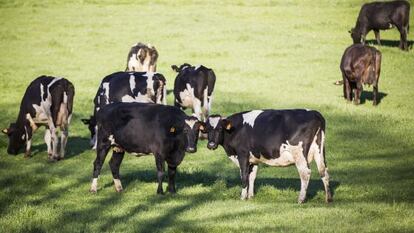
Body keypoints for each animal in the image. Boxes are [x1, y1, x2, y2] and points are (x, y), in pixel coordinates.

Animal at [204, 110, 334, 203]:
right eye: (207, 129)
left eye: (220, 128)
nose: (211, 145)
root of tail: (314, 113)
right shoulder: (253, 159)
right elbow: (252, 177)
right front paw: (250, 196)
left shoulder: (242, 155)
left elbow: (244, 177)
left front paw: (242, 197)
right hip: (319, 151)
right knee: (324, 171)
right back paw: (328, 198)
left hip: (299, 154)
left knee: (305, 173)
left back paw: (301, 199)